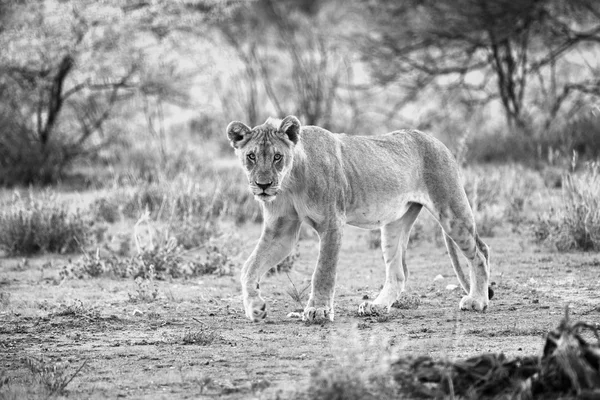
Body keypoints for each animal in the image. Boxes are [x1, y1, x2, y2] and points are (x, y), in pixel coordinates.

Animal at [225, 115, 492, 322]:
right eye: (251, 156)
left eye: (277, 157)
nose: (263, 185)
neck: (290, 182)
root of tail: (436, 141)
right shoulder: (281, 230)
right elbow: (249, 267)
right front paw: (255, 307)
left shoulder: (332, 223)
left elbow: (323, 270)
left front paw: (318, 310)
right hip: (395, 223)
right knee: (398, 274)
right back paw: (376, 306)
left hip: (450, 210)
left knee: (480, 251)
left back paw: (477, 300)